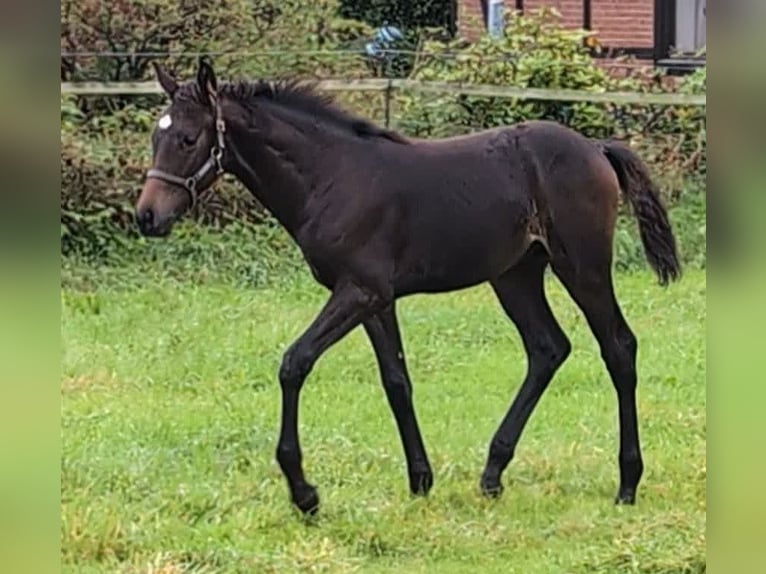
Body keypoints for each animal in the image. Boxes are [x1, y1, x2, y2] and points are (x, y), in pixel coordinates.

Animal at [135, 62, 680, 516]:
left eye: (188, 138)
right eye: (155, 138)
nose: (147, 217)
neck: (333, 176)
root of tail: (595, 148)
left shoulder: (360, 291)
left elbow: (295, 363)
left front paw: (304, 492)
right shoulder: (376, 299)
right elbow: (397, 381)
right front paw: (420, 480)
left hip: (582, 266)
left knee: (618, 347)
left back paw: (627, 483)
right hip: (515, 275)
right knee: (548, 348)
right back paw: (492, 473)